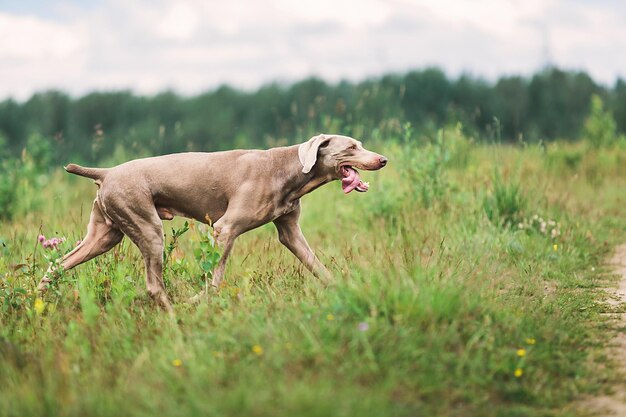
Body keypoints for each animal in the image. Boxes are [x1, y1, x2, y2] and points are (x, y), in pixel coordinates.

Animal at [37, 133, 386, 308]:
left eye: (361, 144)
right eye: (351, 147)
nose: (383, 159)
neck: (286, 169)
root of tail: (106, 172)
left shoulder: (290, 231)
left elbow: (318, 266)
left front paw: (343, 289)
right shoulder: (225, 229)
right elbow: (215, 279)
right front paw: (198, 300)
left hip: (104, 235)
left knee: (58, 264)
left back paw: (38, 299)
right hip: (148, 228)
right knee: (153, 285)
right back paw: (175, 317)